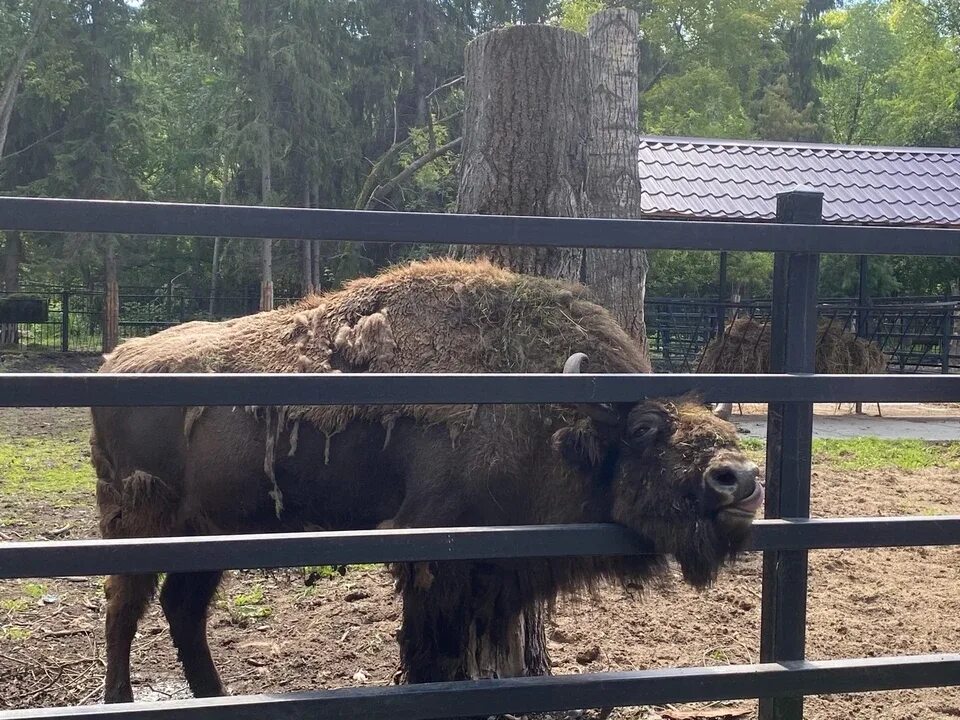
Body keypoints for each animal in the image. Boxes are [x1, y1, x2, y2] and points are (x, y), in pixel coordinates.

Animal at [92, 260, 764, 704]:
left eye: (714, 424)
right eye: (646, 428)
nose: (739, 480)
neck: (554, 419)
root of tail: (116, 359)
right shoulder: (434, 560)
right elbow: (430, 655)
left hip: (211, 532)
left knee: (182, 608)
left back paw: (215, 695)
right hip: (142, 524)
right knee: (124, 604)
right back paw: (120, 699)